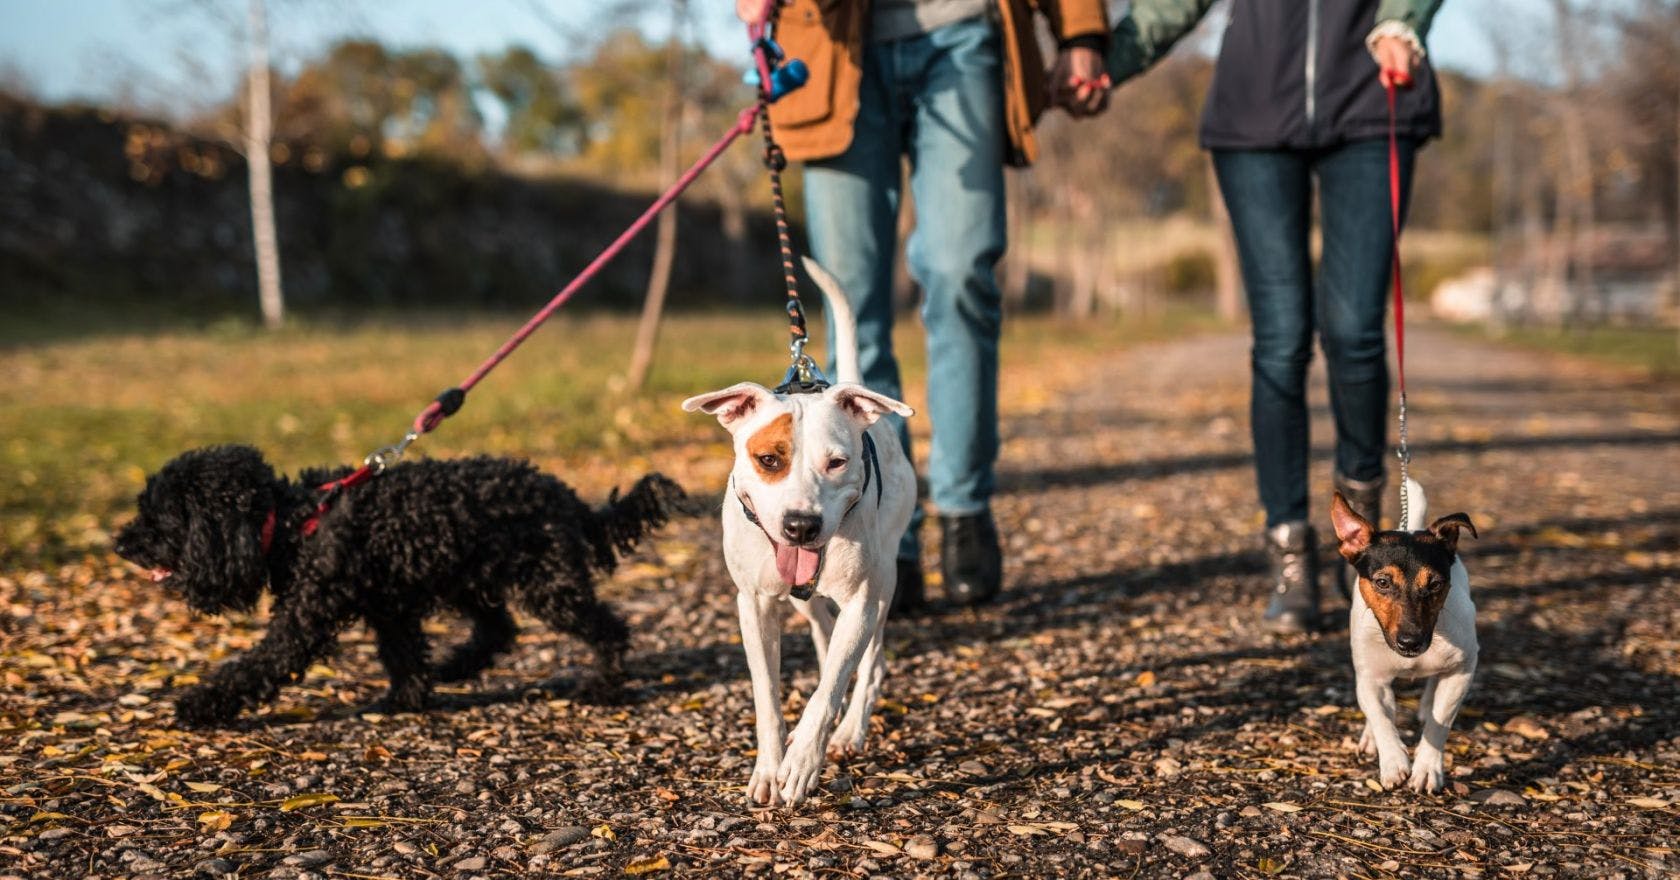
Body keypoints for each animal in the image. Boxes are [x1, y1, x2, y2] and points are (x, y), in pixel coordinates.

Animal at [115, 443, 685, 725]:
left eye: (157, 518)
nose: (119, 545)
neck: (294, 520)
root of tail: (568, 497)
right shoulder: (389, 607)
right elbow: (403, 656)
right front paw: (407, 699)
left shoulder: (302, 624)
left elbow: (253, 667)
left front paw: (197, 706)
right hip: (469, 576)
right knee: (498, 629)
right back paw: (456, 667)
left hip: (548, 583)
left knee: (606, 628)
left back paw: (605, 685)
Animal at [678, 255, 920, 802]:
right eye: (769, 459)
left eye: (837, 462)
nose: (801, 526)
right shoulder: (755, 606)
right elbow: (768, 696)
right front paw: (769, 768)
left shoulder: (862, 602)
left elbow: (828, 691)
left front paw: (803, 762)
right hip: (800, 598)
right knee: (824, 633)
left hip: (884, 584)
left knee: (868, 664)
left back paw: (849, 730)